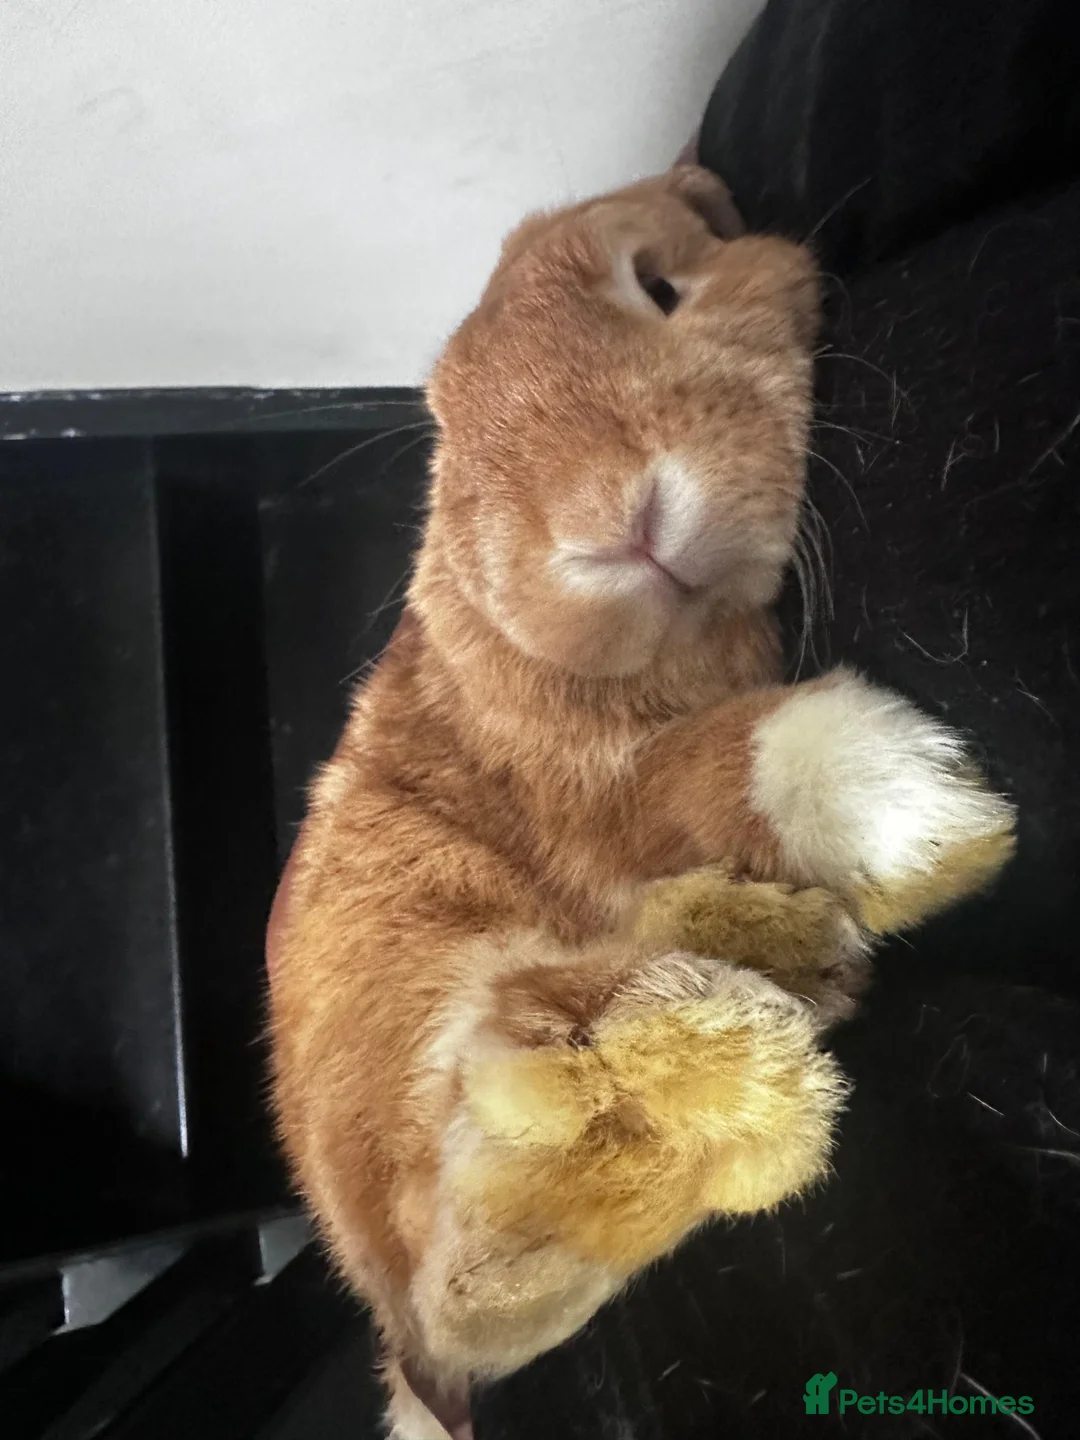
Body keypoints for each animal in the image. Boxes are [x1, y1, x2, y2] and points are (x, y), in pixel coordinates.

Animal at [267, 165, 1015, 1439]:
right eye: (457, 436)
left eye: (660, 284)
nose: (610, 527)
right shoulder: (603, 797)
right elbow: (705, 767)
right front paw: (920, 803)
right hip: (419, 981)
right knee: (474, 1270)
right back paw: (698, 1077)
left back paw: (777, 973)